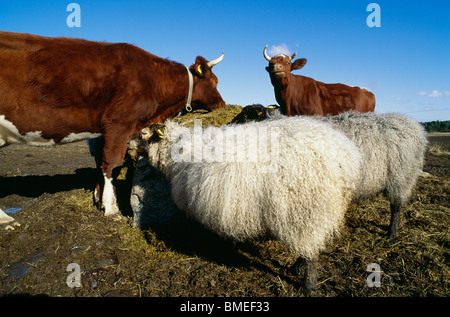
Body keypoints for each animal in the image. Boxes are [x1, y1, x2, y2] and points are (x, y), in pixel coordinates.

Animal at [0, 30, 225, 227]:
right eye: (215, 81)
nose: (223, 104)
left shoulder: (103, 133)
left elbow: (102, 162)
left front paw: (99, 198)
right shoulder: (119, 125)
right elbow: (112, 163)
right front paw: (111, 207)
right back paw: (5, 220)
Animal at [131, 116, 362, 292]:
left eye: (143, 134)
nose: (128, 146)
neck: (177, 152)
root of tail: (343, 157)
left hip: (306, 208)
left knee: (311, 251)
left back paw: (308, 285)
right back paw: (298, 268)